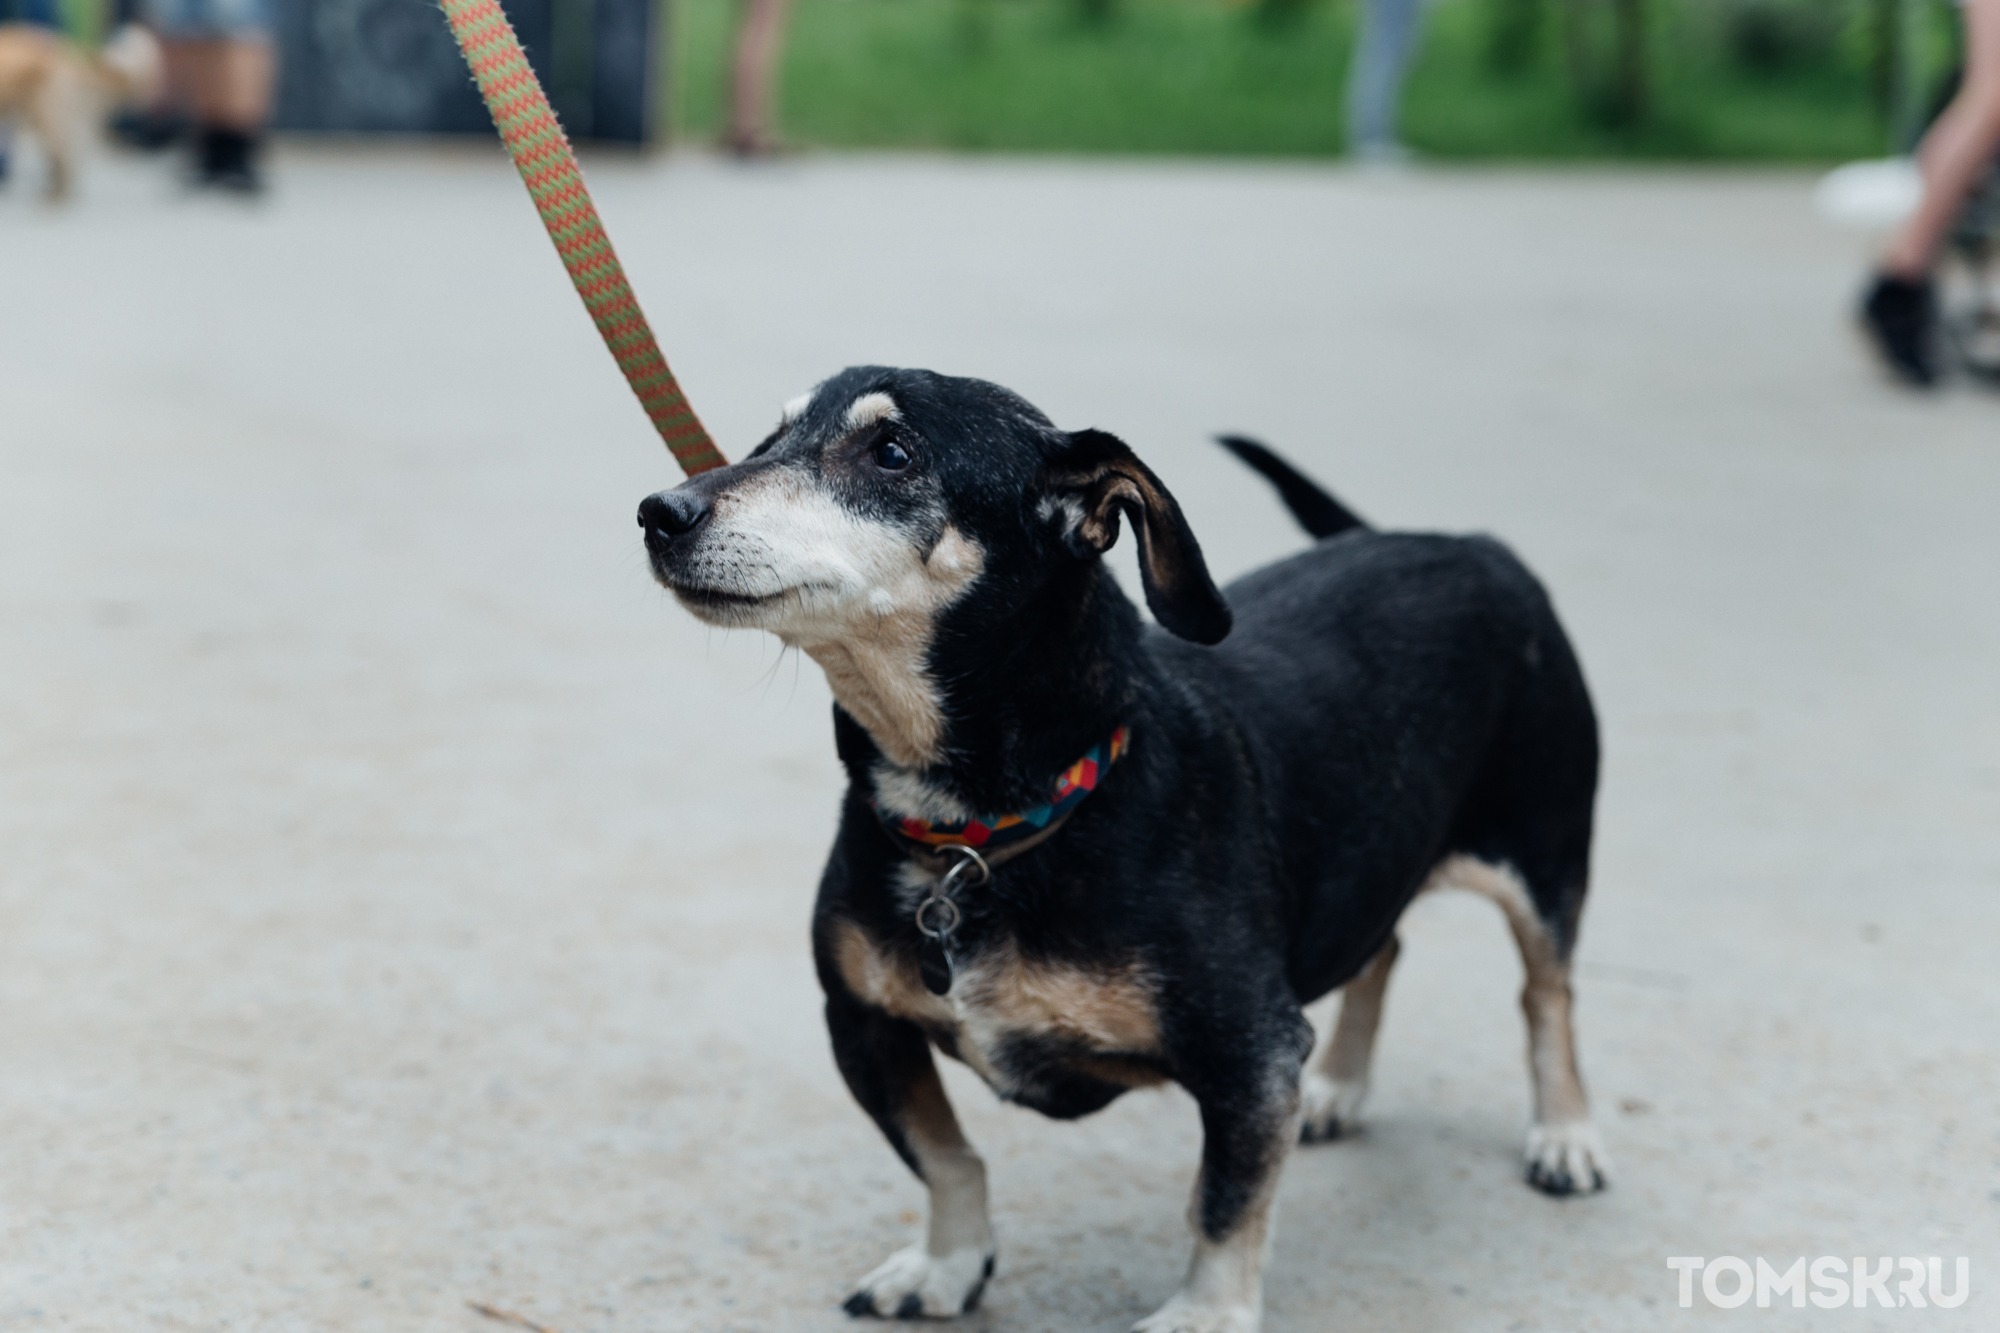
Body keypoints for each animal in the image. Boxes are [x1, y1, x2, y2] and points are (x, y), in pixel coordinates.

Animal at [640, 366, 1608, 1328]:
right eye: (770, 438)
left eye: (892, 452)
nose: (659, 511)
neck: (986, 833)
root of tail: (1468, 543)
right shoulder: (861, 1021)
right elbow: (947, 1157)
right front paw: (948, 1265)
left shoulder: (1250, 1057)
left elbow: (1223, 1205)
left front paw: (1204, 1314)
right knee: (1386, 945)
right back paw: (1337, 1087)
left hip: (1546, 853)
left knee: (1548, 993)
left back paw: (1564, 1134)